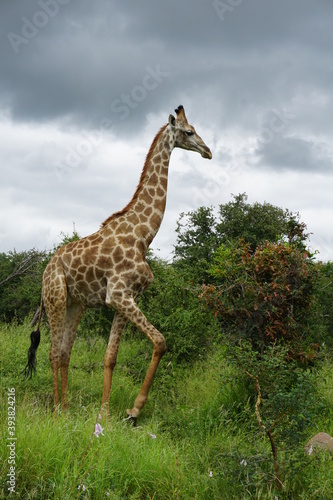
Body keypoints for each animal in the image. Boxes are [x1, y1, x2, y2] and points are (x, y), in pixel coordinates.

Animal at [26, 105, 213, 422]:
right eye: (189, 132)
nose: (208, 151)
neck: (143, 234)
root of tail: (46, 269)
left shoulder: (125, 298)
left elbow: (110, 357)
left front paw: (104, 413)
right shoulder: (119, 295)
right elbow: (160, 341)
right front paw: (134, 410)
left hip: (77, 304)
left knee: (64, 352)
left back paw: (67, 408)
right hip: (55, 298)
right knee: (52, 352)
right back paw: (56, 411)